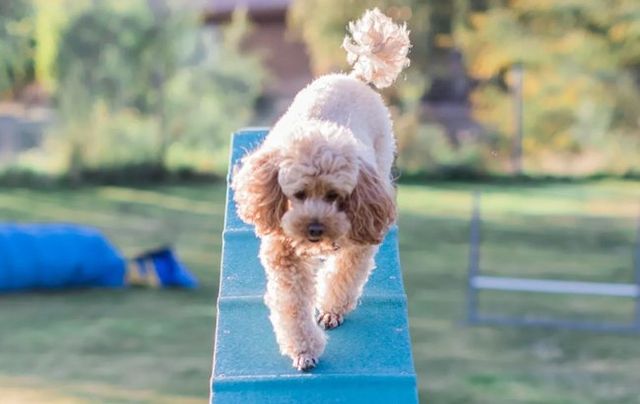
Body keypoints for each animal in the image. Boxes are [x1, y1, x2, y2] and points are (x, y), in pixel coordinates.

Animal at [234, 7, 410, 370]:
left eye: (334, 197)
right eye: (297, 194)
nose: (314, 229)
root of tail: (355, 77)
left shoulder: (360, 235)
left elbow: (344, 274)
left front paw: (329, 311)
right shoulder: (284, 257)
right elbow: (292, 305)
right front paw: (303, 349)